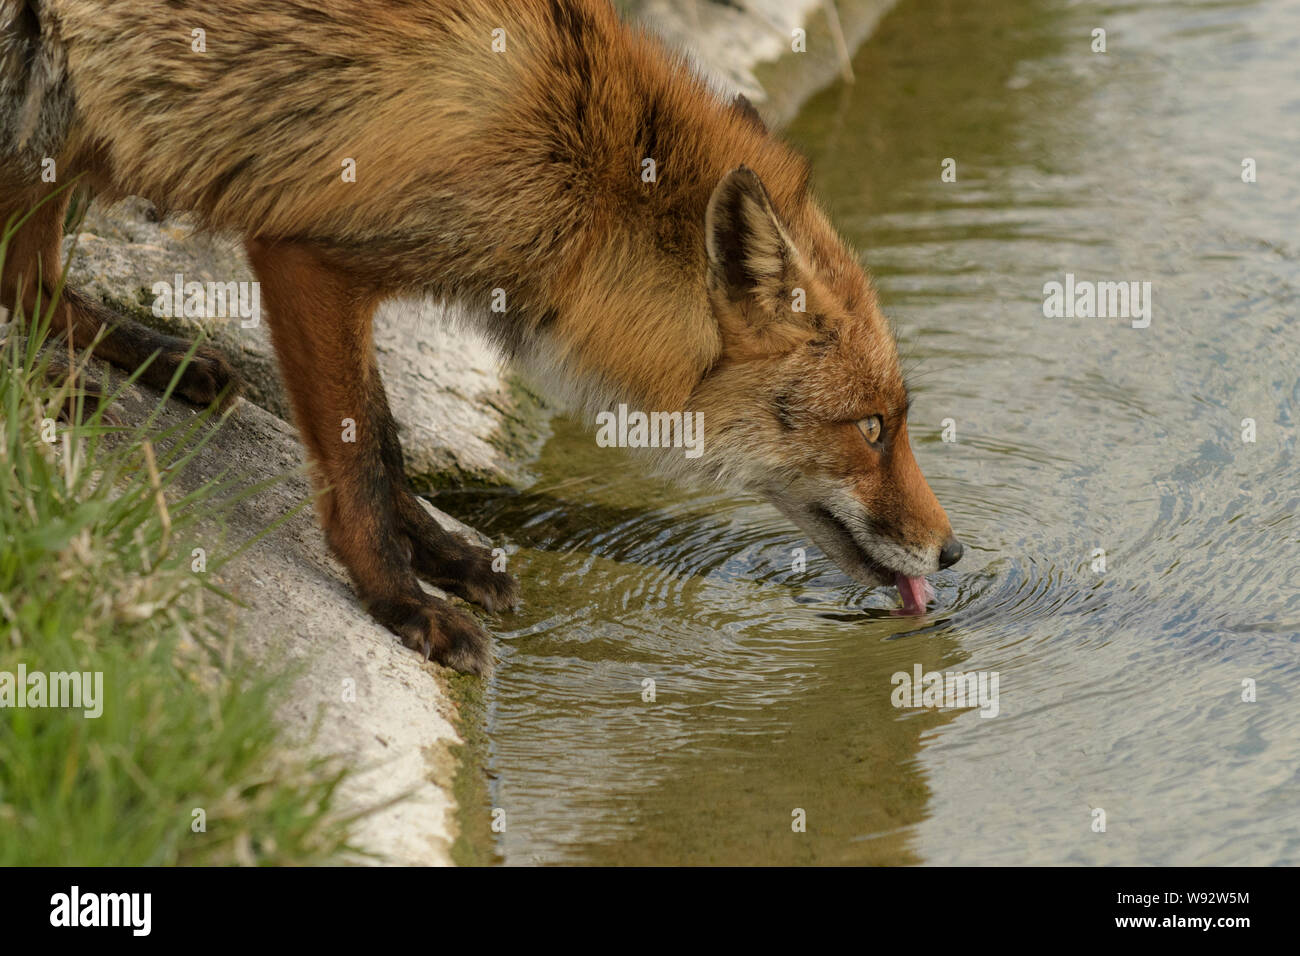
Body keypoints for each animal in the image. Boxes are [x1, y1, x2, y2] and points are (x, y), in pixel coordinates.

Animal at [1, 0, 963, 675]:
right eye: (872, 428)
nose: (953, 552)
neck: (572, 156)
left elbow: (386, 439)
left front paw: (445, 554)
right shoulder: (309, 257)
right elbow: (358, 460)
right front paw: (400, 602)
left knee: (29, 279)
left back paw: (143, 363)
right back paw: (52, 389)